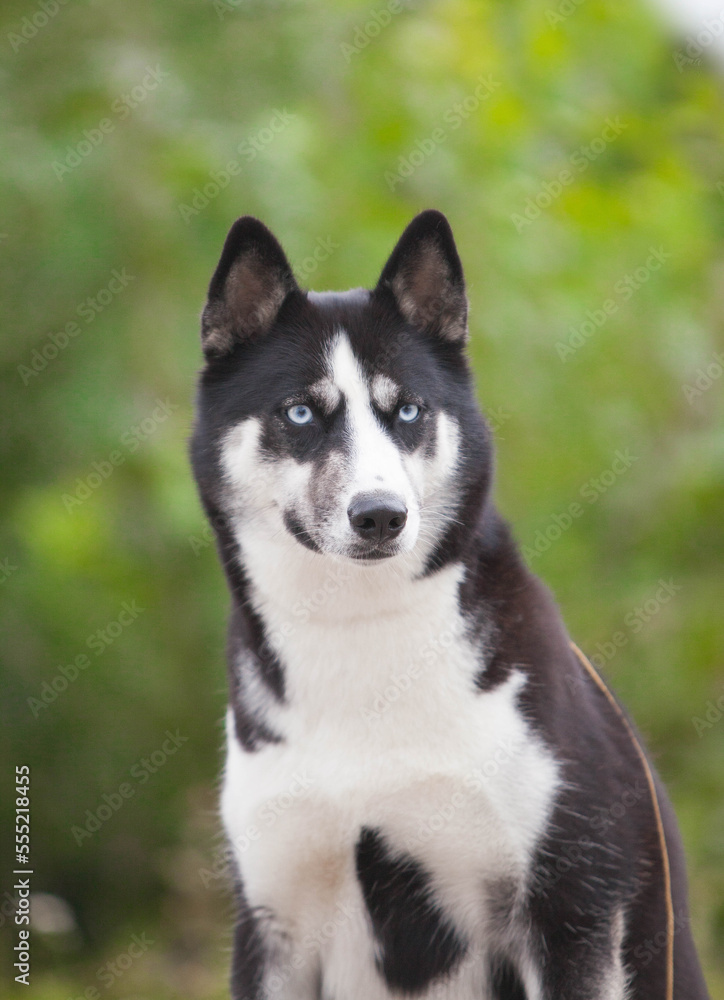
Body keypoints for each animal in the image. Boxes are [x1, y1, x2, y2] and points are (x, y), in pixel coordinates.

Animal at [189, 211, 708, 1000]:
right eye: (301, 412)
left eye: (407, 409)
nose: (379, 515)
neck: (359, 634)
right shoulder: (273, 921)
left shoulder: (573, 911)